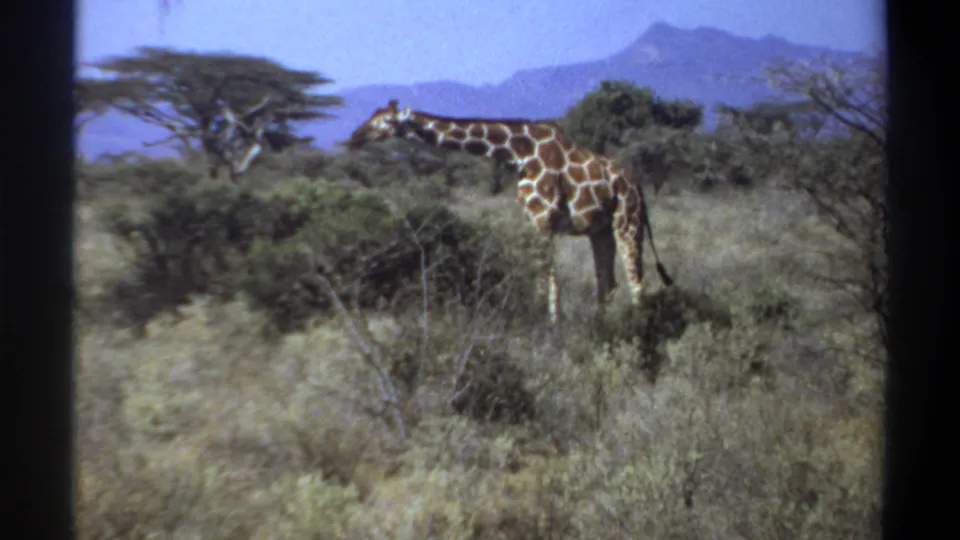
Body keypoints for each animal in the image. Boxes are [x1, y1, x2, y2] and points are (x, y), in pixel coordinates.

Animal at [342, 99, 674, 324]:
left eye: (386, 122)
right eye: (372, 116)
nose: (353, 138)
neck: (518, 153)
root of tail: (637, 185)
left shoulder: (544, 219)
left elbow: (547, 281)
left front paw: (549, 329)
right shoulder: (532, 220)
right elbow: (548, 280)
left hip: (627, 221)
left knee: (636, 281)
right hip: (600, 229)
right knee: (608, 283)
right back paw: (603, 327)